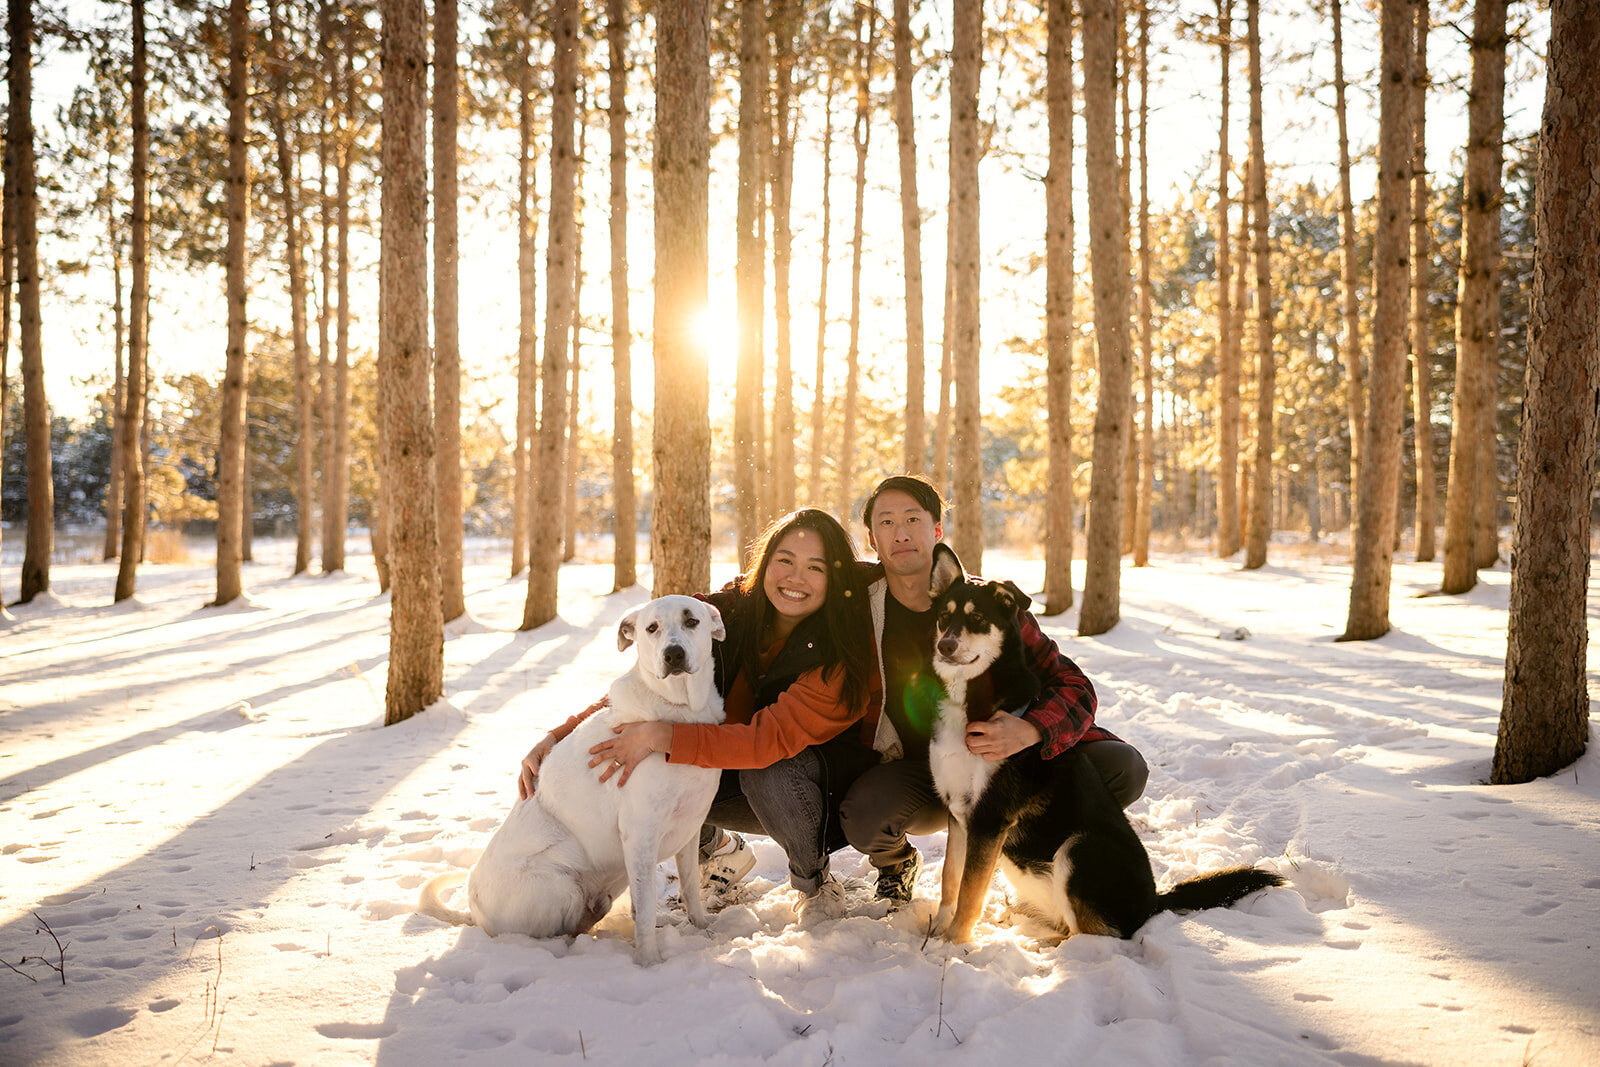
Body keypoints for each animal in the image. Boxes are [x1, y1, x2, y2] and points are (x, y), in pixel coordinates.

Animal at [422, 598, 729, 966]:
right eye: (651, 628)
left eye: (691, 621)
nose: (673, 654)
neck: (681, 711)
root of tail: (474, 912)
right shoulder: (639, 834)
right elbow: (644, 911)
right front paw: (650, 962)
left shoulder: (689, 828)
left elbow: (690, 888)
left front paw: (702, 929)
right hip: (561, 885)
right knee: (557, 932)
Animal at [928, 550, 1286, 940]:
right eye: (943, 616)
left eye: (977, 618)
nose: (945, 646)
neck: (969, 699)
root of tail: (1155, 901)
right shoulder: (959, 814)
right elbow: (951, 879)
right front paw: (937, 931)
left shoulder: (990, 817)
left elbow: (970, 892)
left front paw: (954, 943)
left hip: (1080, 847)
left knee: (1093, 935)